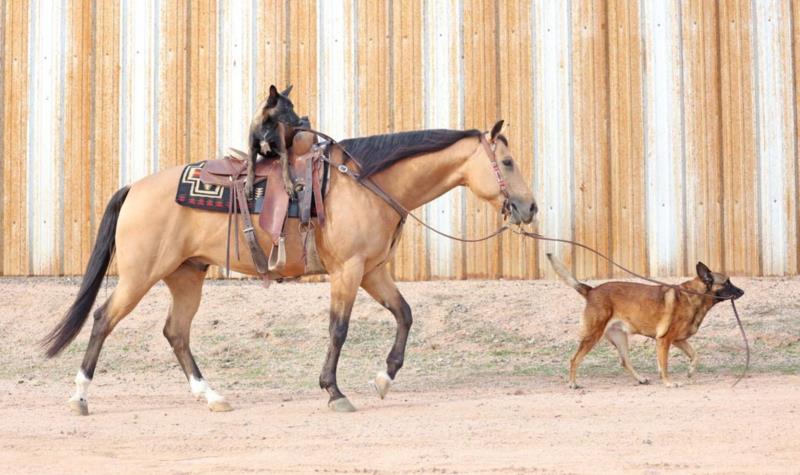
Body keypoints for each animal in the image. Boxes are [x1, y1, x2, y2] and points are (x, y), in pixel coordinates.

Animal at [43, 120, 537, 415]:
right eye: (508, 161)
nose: (530, 207)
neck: (366, 183)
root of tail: (135, 187)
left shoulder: (374, 271)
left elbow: (405, 314)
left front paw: (384, 378)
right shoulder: (348, 271)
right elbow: (339, 329)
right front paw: (334, 391)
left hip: (185, 277)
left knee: (176, 333)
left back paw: (211, 395)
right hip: (139, 276)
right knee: (103, 319)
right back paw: (80, 395)